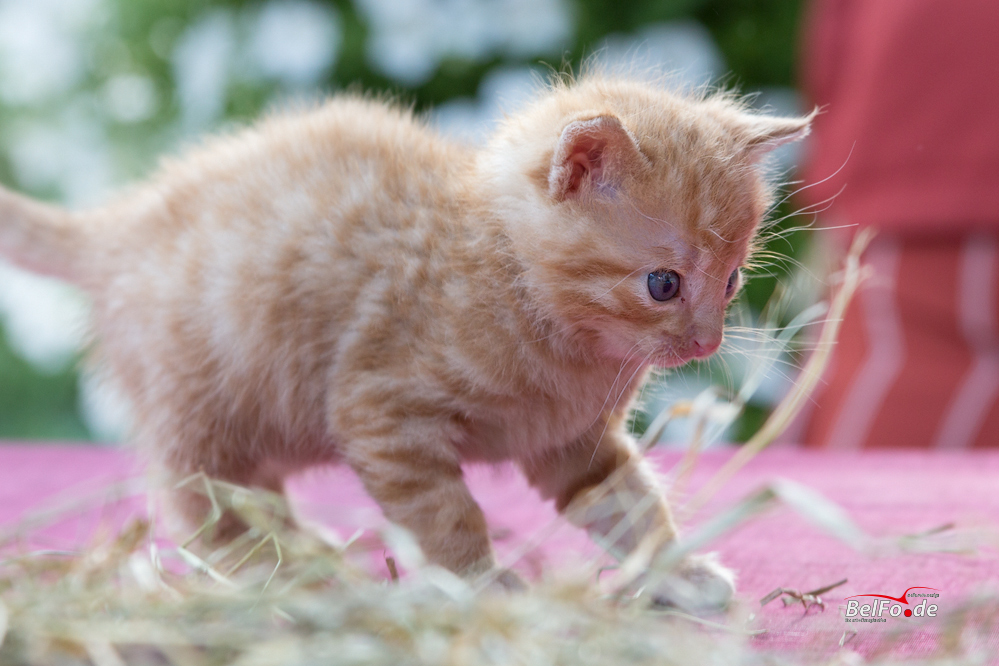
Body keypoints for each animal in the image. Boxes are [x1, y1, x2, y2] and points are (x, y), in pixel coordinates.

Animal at [0, 75, 812, 604]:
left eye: (731, 281)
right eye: (663, 284)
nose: (706, 344)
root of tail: (121, 224)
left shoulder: (575, 442)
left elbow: (631, 506)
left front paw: (679, 572)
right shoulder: (381, 413)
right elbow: (445, 514)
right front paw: (479, 582)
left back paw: (301, 552)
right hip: (203, 403)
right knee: (201, 506)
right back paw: (281, 573)